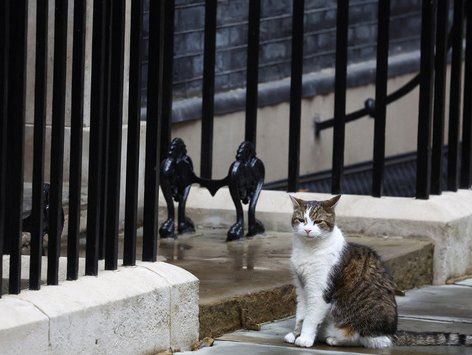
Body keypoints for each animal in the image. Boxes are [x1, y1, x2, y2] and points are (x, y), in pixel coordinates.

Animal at [284, 193, 472, 350]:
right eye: (301, 220)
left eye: (318, 222)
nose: (308, 230)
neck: (308, 249)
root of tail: (391, 332)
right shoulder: (302, 286)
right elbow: (301, 314)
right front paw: (295, 334)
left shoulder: (320, 291)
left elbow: (310, 317)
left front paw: (305, 338)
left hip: (362, 319)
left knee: (369, 339)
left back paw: (335, 339)